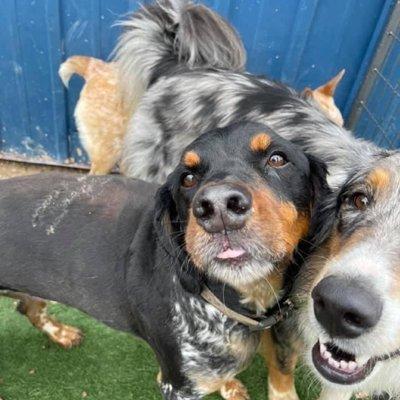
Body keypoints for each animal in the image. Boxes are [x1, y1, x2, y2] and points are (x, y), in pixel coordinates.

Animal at [0, 122, 326, 400]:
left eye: (277, 159)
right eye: (188, 178)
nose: (218, 207)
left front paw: (230, 386)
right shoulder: (177, 385)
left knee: (27, 307)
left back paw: (61, 333)